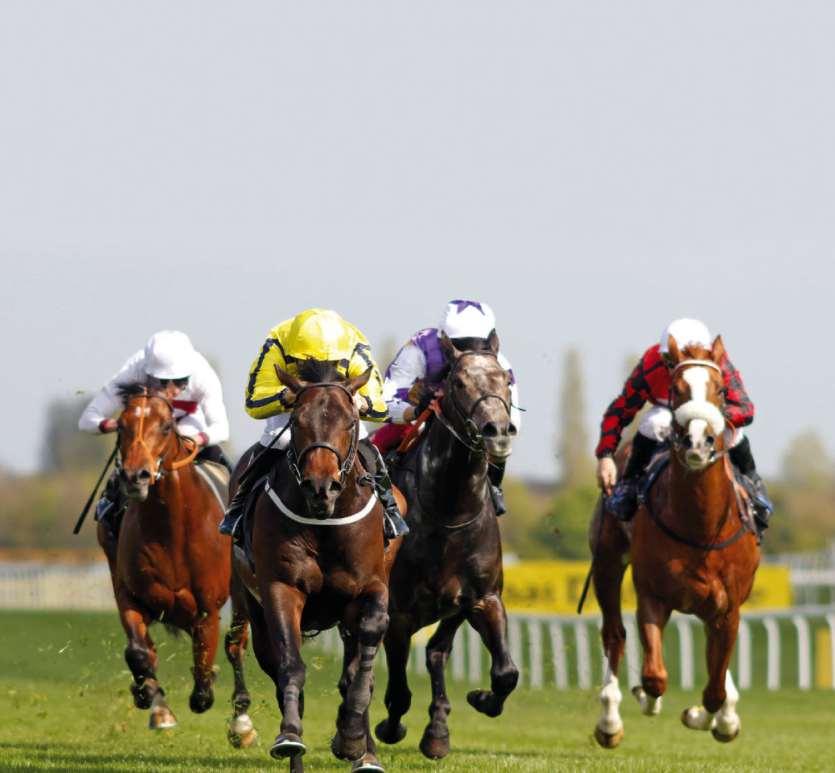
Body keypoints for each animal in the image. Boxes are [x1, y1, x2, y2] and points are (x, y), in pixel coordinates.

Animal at [99, 384, 254, 741]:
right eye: (121, 426)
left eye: (166, 426)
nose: (135, 476)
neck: (171, 528)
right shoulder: (130, 594)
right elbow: (139, 652)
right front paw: (155, 704)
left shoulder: (207, 608)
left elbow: (205, 668)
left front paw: (207, 690)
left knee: (235, 644)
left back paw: (241, 720)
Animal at [229, 362, 402, 773]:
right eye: (296, 419)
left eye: (351, 421)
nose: (321, 486)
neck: (325, 521)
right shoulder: (280, 588)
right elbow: (291, 666)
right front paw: (290, 736)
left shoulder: (371, 588)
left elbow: (365, 660)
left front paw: (353, 738)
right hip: (252, 607)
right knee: (276, 666)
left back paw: (364, 751)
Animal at [374, 335, 519, 760]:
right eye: (458, 382)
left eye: (505, 379)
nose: (497, 431)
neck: (448, 511)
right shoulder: (398, 612)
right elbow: (398, 692)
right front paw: (389, 728)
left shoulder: (484, 598)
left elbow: (506, 673)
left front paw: (482, 699)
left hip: (453, 608)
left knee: (436, 652)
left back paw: (437, 729)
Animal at [590, 336, 760, 748]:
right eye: (677, 389)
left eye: (720, 390)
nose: (698, 441)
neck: (700, 527)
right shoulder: (652, 596)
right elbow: (655, 676)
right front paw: (645, 695)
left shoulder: (728, 608)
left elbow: (714, 687)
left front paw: (710, 716)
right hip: (606, 561)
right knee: (614, 634)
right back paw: (611, 720)